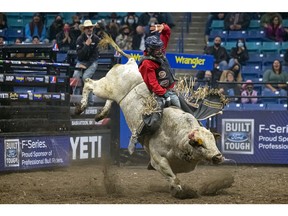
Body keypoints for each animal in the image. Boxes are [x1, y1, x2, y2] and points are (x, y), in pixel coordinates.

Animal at [80, 57, 224, 199]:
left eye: (213, 141)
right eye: (200, 144)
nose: (218, 157)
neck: (178, 138)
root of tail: (130, 63)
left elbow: (174, 176)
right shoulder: (158, 160)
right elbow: (173, 178)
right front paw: (180, 192)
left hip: (110, 92)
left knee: (108, 99)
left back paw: (101, 114)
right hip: (106, 87)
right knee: (89, 83)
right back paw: (80, 107)